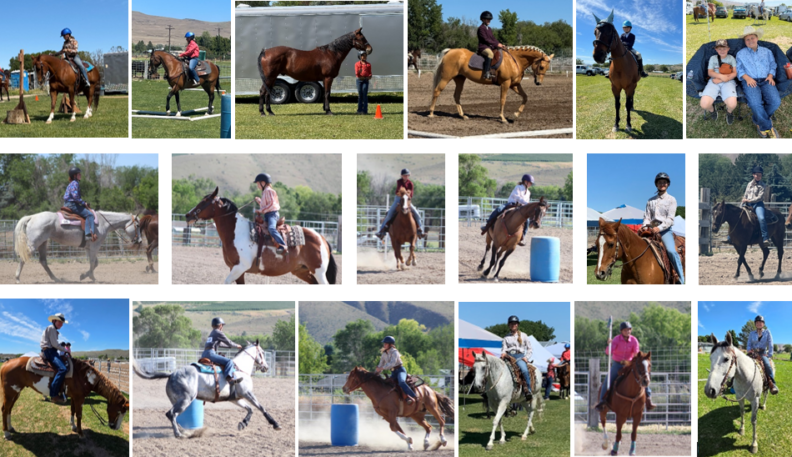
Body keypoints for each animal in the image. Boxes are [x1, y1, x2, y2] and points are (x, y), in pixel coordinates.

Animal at [133, 340, 282, 438]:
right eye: (262, 353)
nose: (266, 367)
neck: (239, 369)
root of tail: (172, 374)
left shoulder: (235, 398)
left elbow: (250, 409)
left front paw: (243, 424)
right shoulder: (247, 393)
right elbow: (261, 408)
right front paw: (275, 424)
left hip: (177, 400)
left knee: (172, 416)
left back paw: (186, 431)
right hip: (186, 400)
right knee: (171, 414)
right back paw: (179, 434)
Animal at [184, 187, 337, 284]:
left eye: (205, 201)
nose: (187, 215)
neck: (237, 233)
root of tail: (322, 238)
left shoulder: (240, 267)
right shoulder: (237, 270)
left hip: (319, 271)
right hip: (301, 271)